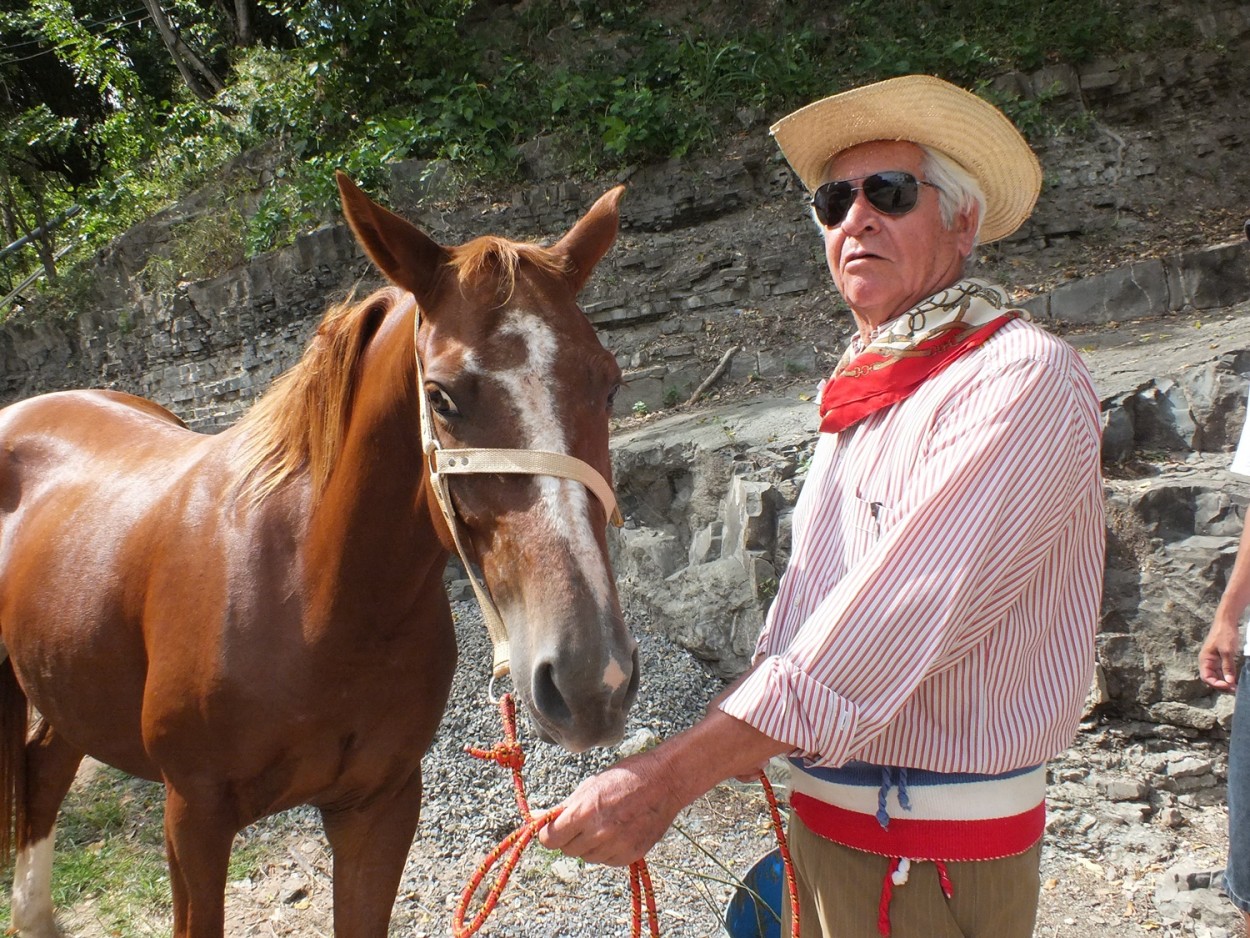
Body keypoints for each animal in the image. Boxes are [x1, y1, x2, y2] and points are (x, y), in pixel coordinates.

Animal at [0, 172, 635, 935]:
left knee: (42, 773)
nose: (591, 678)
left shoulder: (379, 807)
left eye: (609, 381)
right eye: (440, 397)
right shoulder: (193, 819)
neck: (308, 597)